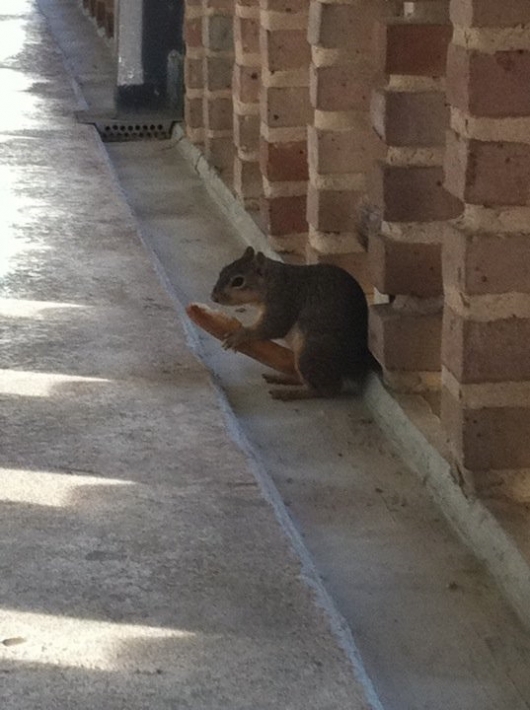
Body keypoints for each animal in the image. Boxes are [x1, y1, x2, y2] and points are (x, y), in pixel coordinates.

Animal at [211, 246, 372, 400]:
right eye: (222, 271)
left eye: (238, 281)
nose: (214, 297)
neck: (274, 281)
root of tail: (353, 369)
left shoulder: (284, 301)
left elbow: (274, 327)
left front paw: (239, 335)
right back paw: (284, 378)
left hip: (311, 353)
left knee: (327, 390)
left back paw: (290, 393)